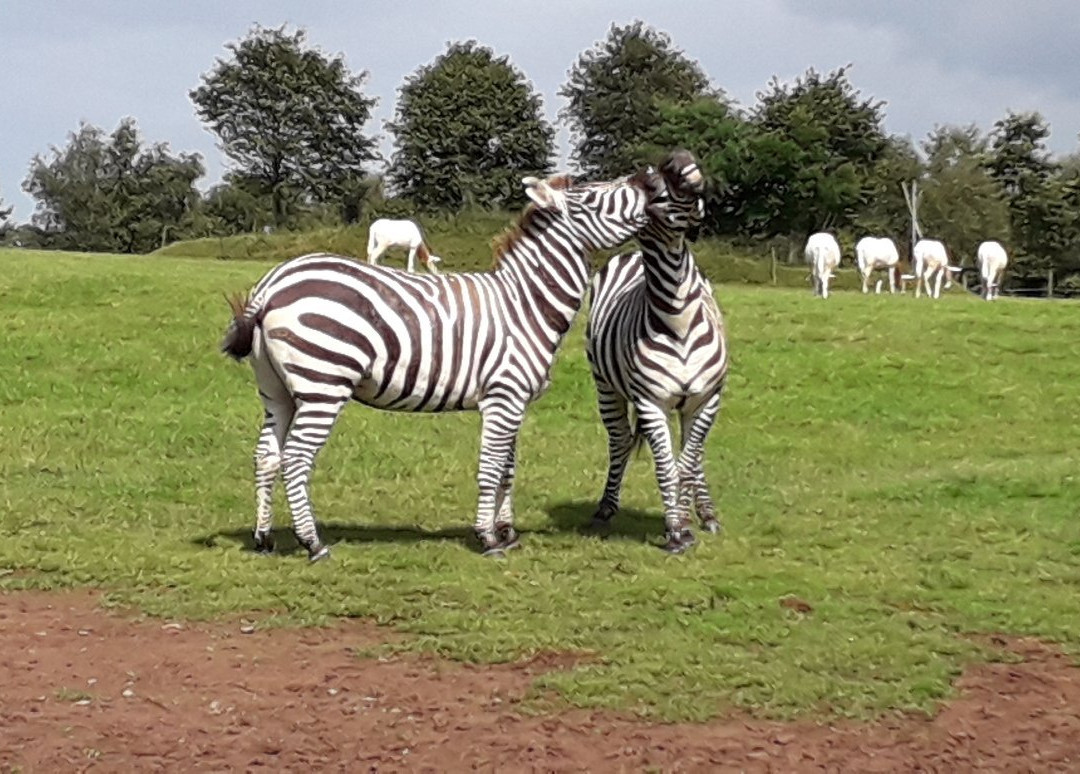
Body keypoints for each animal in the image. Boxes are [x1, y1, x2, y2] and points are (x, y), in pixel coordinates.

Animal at [219, 166, 673, 557]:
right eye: (595, 196)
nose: (651, 179)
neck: (526, 303)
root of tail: (274, 282)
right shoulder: (503, 397)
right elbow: (490, 466)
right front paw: (488, 538)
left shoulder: (514, 402)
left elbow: (508, 468)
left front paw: (507, 532)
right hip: (322, 387)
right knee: (295, 459)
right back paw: (312, 542)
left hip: (278, 391)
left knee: (267, 456)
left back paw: (264, 538)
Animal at [587, 148, 730, 550]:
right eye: (652, 186)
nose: (681, 158)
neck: (678, 320)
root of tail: (629, 257)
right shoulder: (651, 403)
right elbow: (667, 468)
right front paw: (677, 530)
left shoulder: (708, 399)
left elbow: (687, 464)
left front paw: (686, 518)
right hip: (606, 387)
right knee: (620, 441)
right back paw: (606, 506)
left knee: (693, 455)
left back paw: (706, 513)